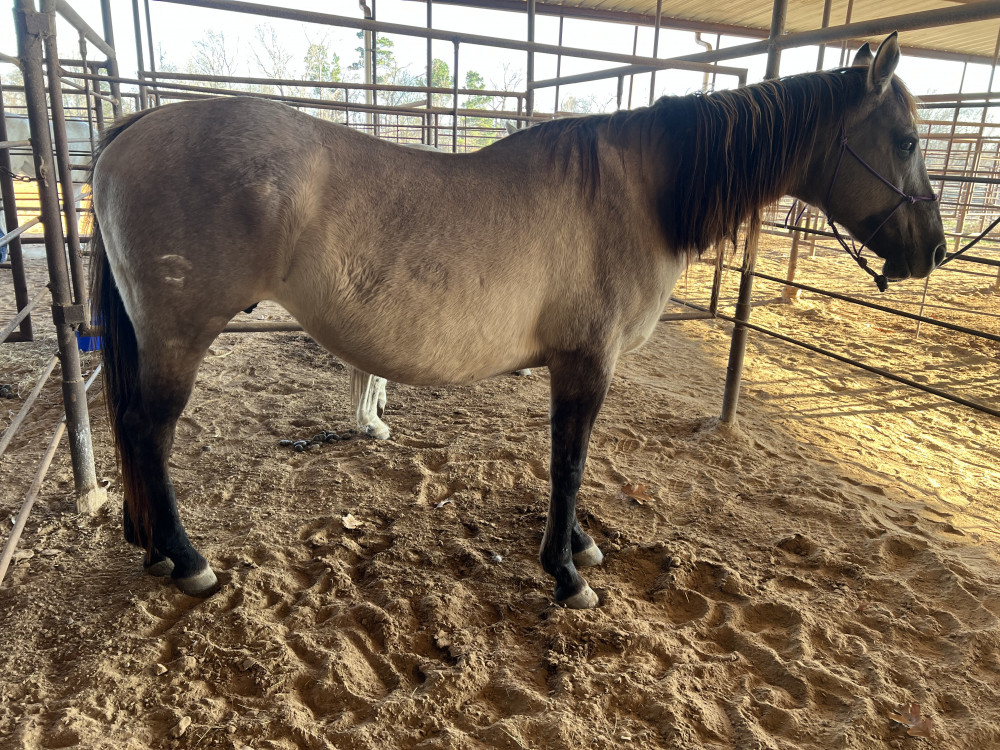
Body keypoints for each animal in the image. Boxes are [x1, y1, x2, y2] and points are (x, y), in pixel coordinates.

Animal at [89, 34, 944, 608]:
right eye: (905, 140)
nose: (933, 250)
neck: (637, 195)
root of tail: (135, 125)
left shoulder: (580, 363)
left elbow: (574, 459)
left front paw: (582, 546)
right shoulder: (586, 361)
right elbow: (570, 461)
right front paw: (566, 571)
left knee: (135, 432)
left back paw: (152, 548)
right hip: (179, 335)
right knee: (147, 432)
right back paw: (186, 559)